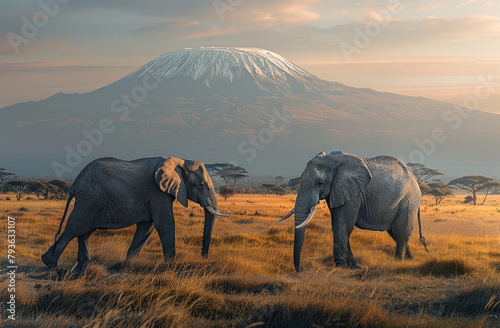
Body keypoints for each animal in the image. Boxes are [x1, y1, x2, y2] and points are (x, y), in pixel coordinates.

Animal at [42, 155, 229, 272]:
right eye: (201, 185)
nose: (204, 259)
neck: (181, 160)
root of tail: (75, 183)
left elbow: (147, 226)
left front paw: (130, 264)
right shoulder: (157, 191)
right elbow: (164, 224)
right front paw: (172, 266)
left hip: (91, 201)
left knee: (84, 233)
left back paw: (82, 268)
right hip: (89, 200)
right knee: (75, 228)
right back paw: (53, 266)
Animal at [280, 151, 428, 272]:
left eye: (319, 183)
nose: (301, 269)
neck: (332, 160)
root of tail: (416, 180)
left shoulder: (353, 192)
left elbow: (342, 225)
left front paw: (341, 266)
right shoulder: (337, 191)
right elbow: (339, 225)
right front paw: (353, 267)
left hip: (408, 200)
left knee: (400, 230)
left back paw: (397, 262)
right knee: (395, 233)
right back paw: (411, 259)